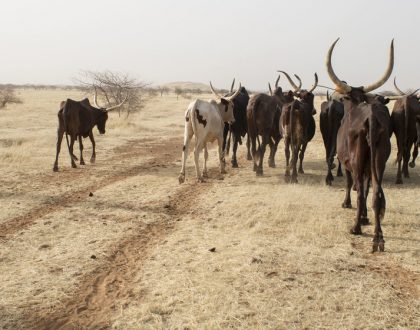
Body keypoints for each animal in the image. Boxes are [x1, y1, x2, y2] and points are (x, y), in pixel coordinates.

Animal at [326, 37, 396, 251]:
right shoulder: (367, 168)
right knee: (375, 193)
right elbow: (365, 190)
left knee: (360, 190)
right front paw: (365, 217)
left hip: (357, 163)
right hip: (379, 162)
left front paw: (348, 205)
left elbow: (352, 185)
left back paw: (356, 228)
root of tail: (371, 117)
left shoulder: (347, 163)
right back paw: (378, 237)